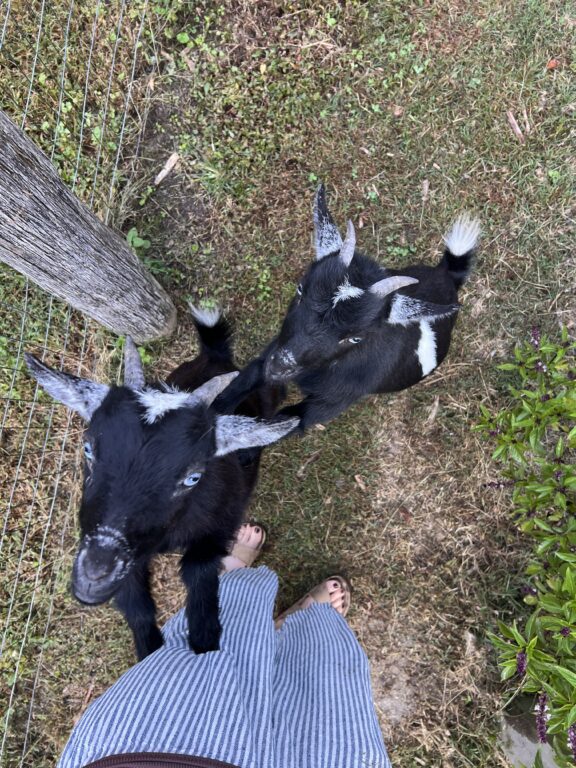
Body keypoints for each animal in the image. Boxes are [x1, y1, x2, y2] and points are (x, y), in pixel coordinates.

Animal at [25, 308, 297, 659]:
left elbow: (200, 572)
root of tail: (215, 356)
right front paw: (151, 652)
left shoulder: (221, 523)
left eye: (193, 477)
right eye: (87, 448)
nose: (94, 577)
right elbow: (137, 605)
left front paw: (206, 642)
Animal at [214, 185, 480, 431]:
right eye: (300, 290)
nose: (280, 367)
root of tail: (448, 274)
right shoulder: (271, 352)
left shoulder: (329, 404)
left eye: (355, 338)